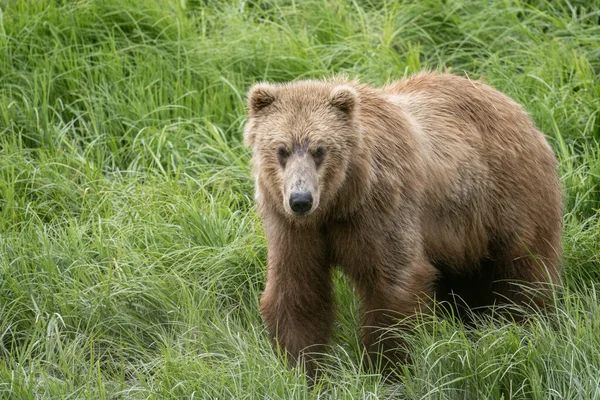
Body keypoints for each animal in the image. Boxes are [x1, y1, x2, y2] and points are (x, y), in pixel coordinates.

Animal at [241, 72, 560, 378]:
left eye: (320, 150)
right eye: (282, 149)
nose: (301, 199)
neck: (340, 201)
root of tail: (519, 110)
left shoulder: (380, 207)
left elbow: (394, 282)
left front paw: (387, 367)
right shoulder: (292, 227)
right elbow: (296, 289)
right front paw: (303, 369)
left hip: (508, 199)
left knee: (524, 269)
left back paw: (527, 322)